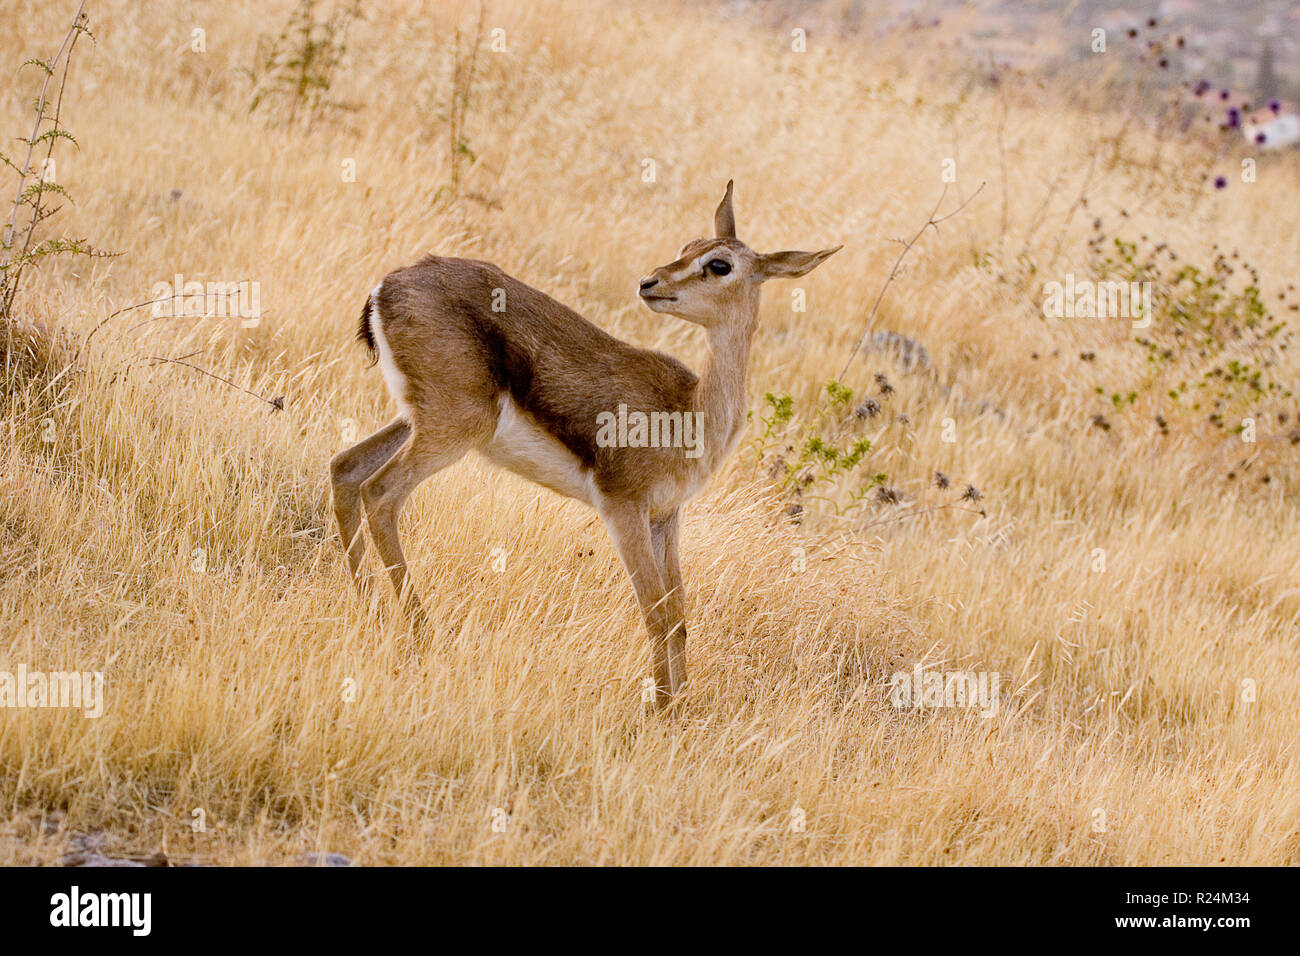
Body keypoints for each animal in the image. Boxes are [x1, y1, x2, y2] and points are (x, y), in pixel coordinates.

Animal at [330, 182, 840, 707]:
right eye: (690, 248)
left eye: (717, 262)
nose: (649, 282)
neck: (691, 412)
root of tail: (387, 287)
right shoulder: (622, 508)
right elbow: (655, 614)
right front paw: (659, 710)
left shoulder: (664, 518)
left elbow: (678, 615)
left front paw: (679, 707)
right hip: (451, 429)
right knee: (379, 493)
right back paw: (423, 635)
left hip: (418, 419)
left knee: (345, 468)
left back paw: (370, 613)